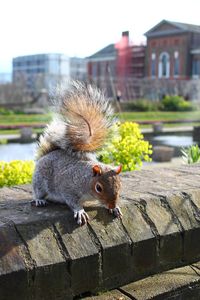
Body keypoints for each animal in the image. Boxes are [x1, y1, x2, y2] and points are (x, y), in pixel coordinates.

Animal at [31, 80, 122, 225]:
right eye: (99, 188)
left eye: (119, 186)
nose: (112, 204)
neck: (86, 181)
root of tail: (46, 155)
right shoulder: (69, 188)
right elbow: (72, 202)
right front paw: (80, 212)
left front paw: (115, 208)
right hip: (40, 181)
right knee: (37, 192)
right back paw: (39, 200)